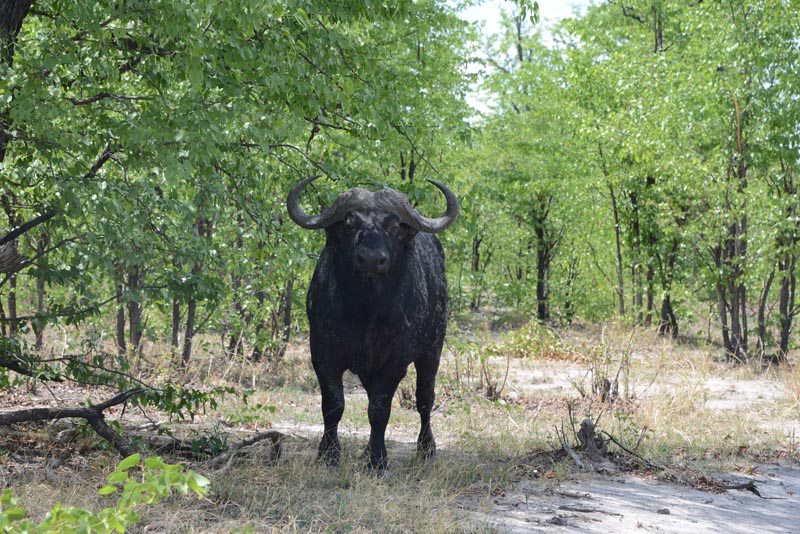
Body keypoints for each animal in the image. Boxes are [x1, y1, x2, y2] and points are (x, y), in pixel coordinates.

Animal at [286, 178, 460, 476]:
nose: (370, 259)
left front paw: (378, 461)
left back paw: (426, 449)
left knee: (425, 399)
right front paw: (329, 454)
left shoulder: (395, 362)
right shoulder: (322, 353)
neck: (365, 311)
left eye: (394, 225)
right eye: (349, 223)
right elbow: (333, 405)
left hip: (432, 350)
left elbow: (380, 410)